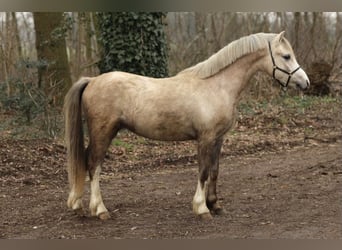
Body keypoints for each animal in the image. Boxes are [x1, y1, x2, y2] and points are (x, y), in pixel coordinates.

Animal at [64, 30, 310, 219]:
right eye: (286, 56)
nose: (305, 83)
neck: (216, 86)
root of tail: (92, 80)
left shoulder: (218, 139)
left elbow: (214, 171)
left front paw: (215, 204)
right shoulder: (205, 138)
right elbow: (203, 172)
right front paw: (202, 208)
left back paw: (78, 205)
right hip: (103, 132)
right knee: (93, 165)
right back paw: (100, 210)